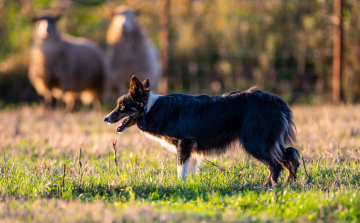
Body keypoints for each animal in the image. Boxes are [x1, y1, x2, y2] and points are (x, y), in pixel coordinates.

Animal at [104, 75, 300, 186]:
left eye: (122, 107)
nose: (106, 119)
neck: (151, 108)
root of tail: (277, 101)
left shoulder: (184, 143)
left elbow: (180, 169)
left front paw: (180, 187)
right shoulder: (190, 148)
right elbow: (188, 170)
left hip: (255, 143)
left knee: (275, 165)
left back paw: (268, 187)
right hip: (269, 142)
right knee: (290, 158)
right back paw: (289, 185)